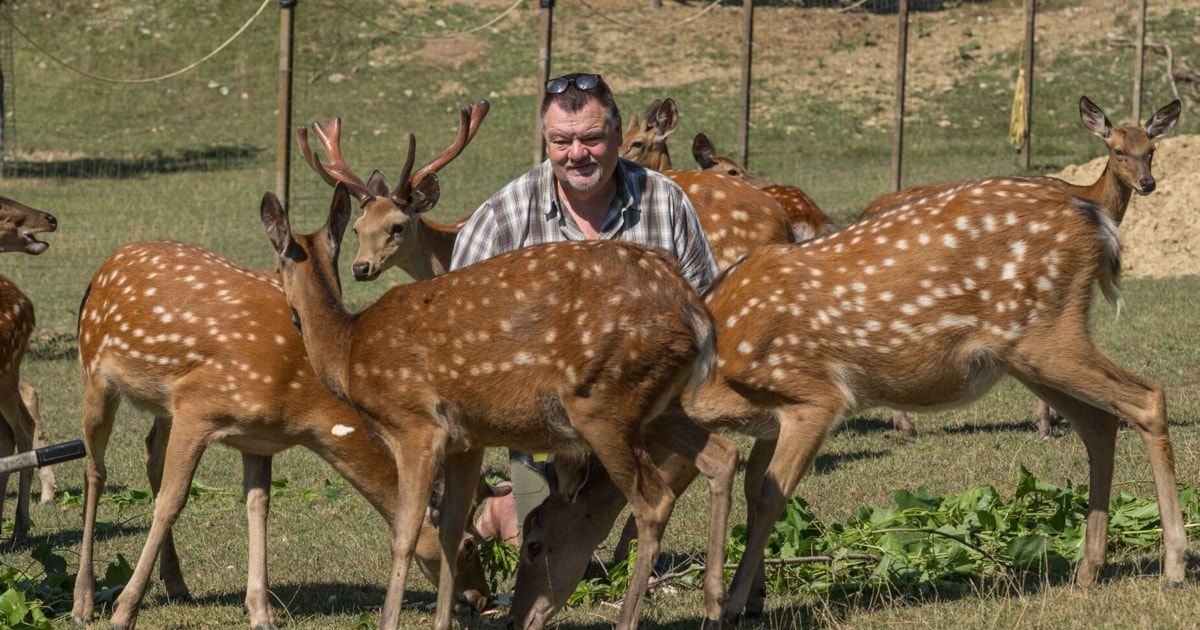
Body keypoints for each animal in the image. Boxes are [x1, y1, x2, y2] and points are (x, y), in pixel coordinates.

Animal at [71, 240, 508, 629]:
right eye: (471, 544)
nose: (481, 598)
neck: (299, 405)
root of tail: (107, 264)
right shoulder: (198, 407)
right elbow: (170, 503)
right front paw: (124, 612)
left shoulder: (256, 437)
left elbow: (258, 507)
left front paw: (261, 612)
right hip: (94, 371)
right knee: (96, 470)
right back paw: (84, 601)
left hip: (161, 407)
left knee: (150, 455)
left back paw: (177, 584)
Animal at [260, 181, 738, 630]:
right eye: (356, 231)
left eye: (278, 262)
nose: (280, 300)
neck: (347, 352)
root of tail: (695, 310)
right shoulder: (466, 440)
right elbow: (452, 529)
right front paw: (444, 620)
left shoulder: (413, 425)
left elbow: (405, 533)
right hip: (660, 406)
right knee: (722, 454)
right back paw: (715, 605)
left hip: (604, 403)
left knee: (654, 500)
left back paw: (633, 618)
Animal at [509, 176, 1189, 623]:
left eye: (534, 539)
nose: (520, 616)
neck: (709, 375)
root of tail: (1096, 219)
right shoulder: (767, 421)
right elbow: (757, 489)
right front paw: (753, 595)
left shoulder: (814, 397)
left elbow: (769, 496)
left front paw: (736, 602)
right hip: (1028, 351)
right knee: (1100, 424)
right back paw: (1087, 569)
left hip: (1048, 333)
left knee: (1147, 398)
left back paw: (1175, 567)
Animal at [860, 96, 1182, 440]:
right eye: (1118, 150)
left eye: (1151, 149)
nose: (1147, 183)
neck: (1088, 195)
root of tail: (866, 211)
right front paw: (1045, 423)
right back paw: (906, 426)